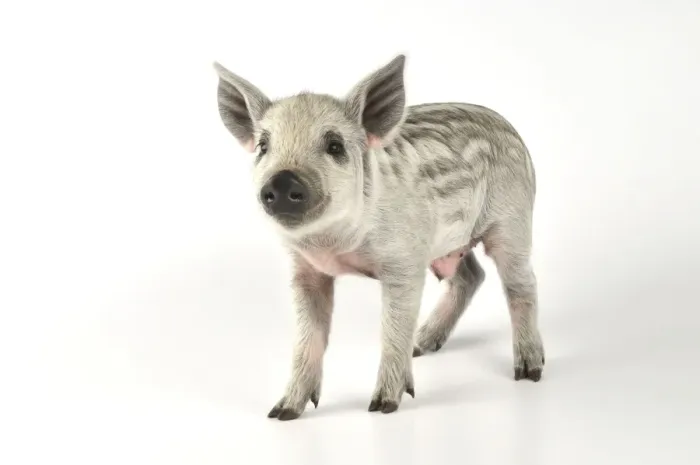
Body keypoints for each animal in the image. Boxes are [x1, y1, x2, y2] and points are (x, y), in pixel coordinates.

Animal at [213, 54, 545, 421]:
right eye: (263, 146)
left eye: (334, 145)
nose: (283, 179)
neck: (333, 246)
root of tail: (509, 127)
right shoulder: (305, 270)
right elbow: (306, 339)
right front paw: (281, 412)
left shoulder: (404, 263)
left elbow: (391, 330)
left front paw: (382, 407)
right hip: (448, 244)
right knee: (471, 276)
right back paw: (421, 346)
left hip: (512, 221)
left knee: (521, 283)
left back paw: (529, 371)